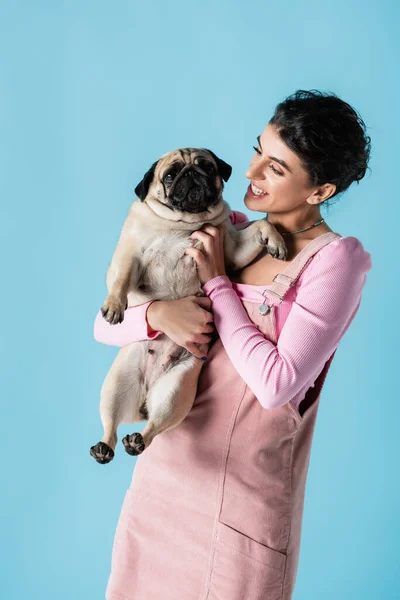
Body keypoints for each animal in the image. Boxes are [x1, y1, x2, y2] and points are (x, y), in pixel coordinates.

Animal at [90, 149, 288, 464]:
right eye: (170, 175)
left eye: (207, 167)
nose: (192, 174)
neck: (182, 224)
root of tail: (145, 399)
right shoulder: (130, 254)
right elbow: (121, 280)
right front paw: (114, 306)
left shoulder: (230, 248)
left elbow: (259, 224)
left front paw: (276, 240)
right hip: (116, 384)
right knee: (110, 421)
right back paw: (103, 446)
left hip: (176, 390)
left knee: (155, 425)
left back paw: (136, 440)